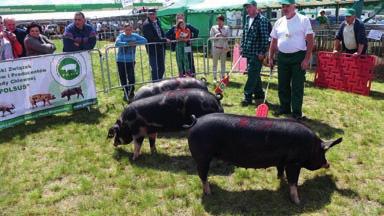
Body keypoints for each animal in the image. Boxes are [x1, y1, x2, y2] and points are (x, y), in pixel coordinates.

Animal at [188, 113, 340, 204]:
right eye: (323, 153)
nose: (328, 164)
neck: (311, 146)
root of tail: (196, 120)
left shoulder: (282, 161)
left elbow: (281, 171)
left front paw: (281, 179)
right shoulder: (294, 163)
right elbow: (293, 181)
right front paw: (297, 202)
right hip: (202, 156)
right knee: (202, 175)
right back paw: (209, 193)